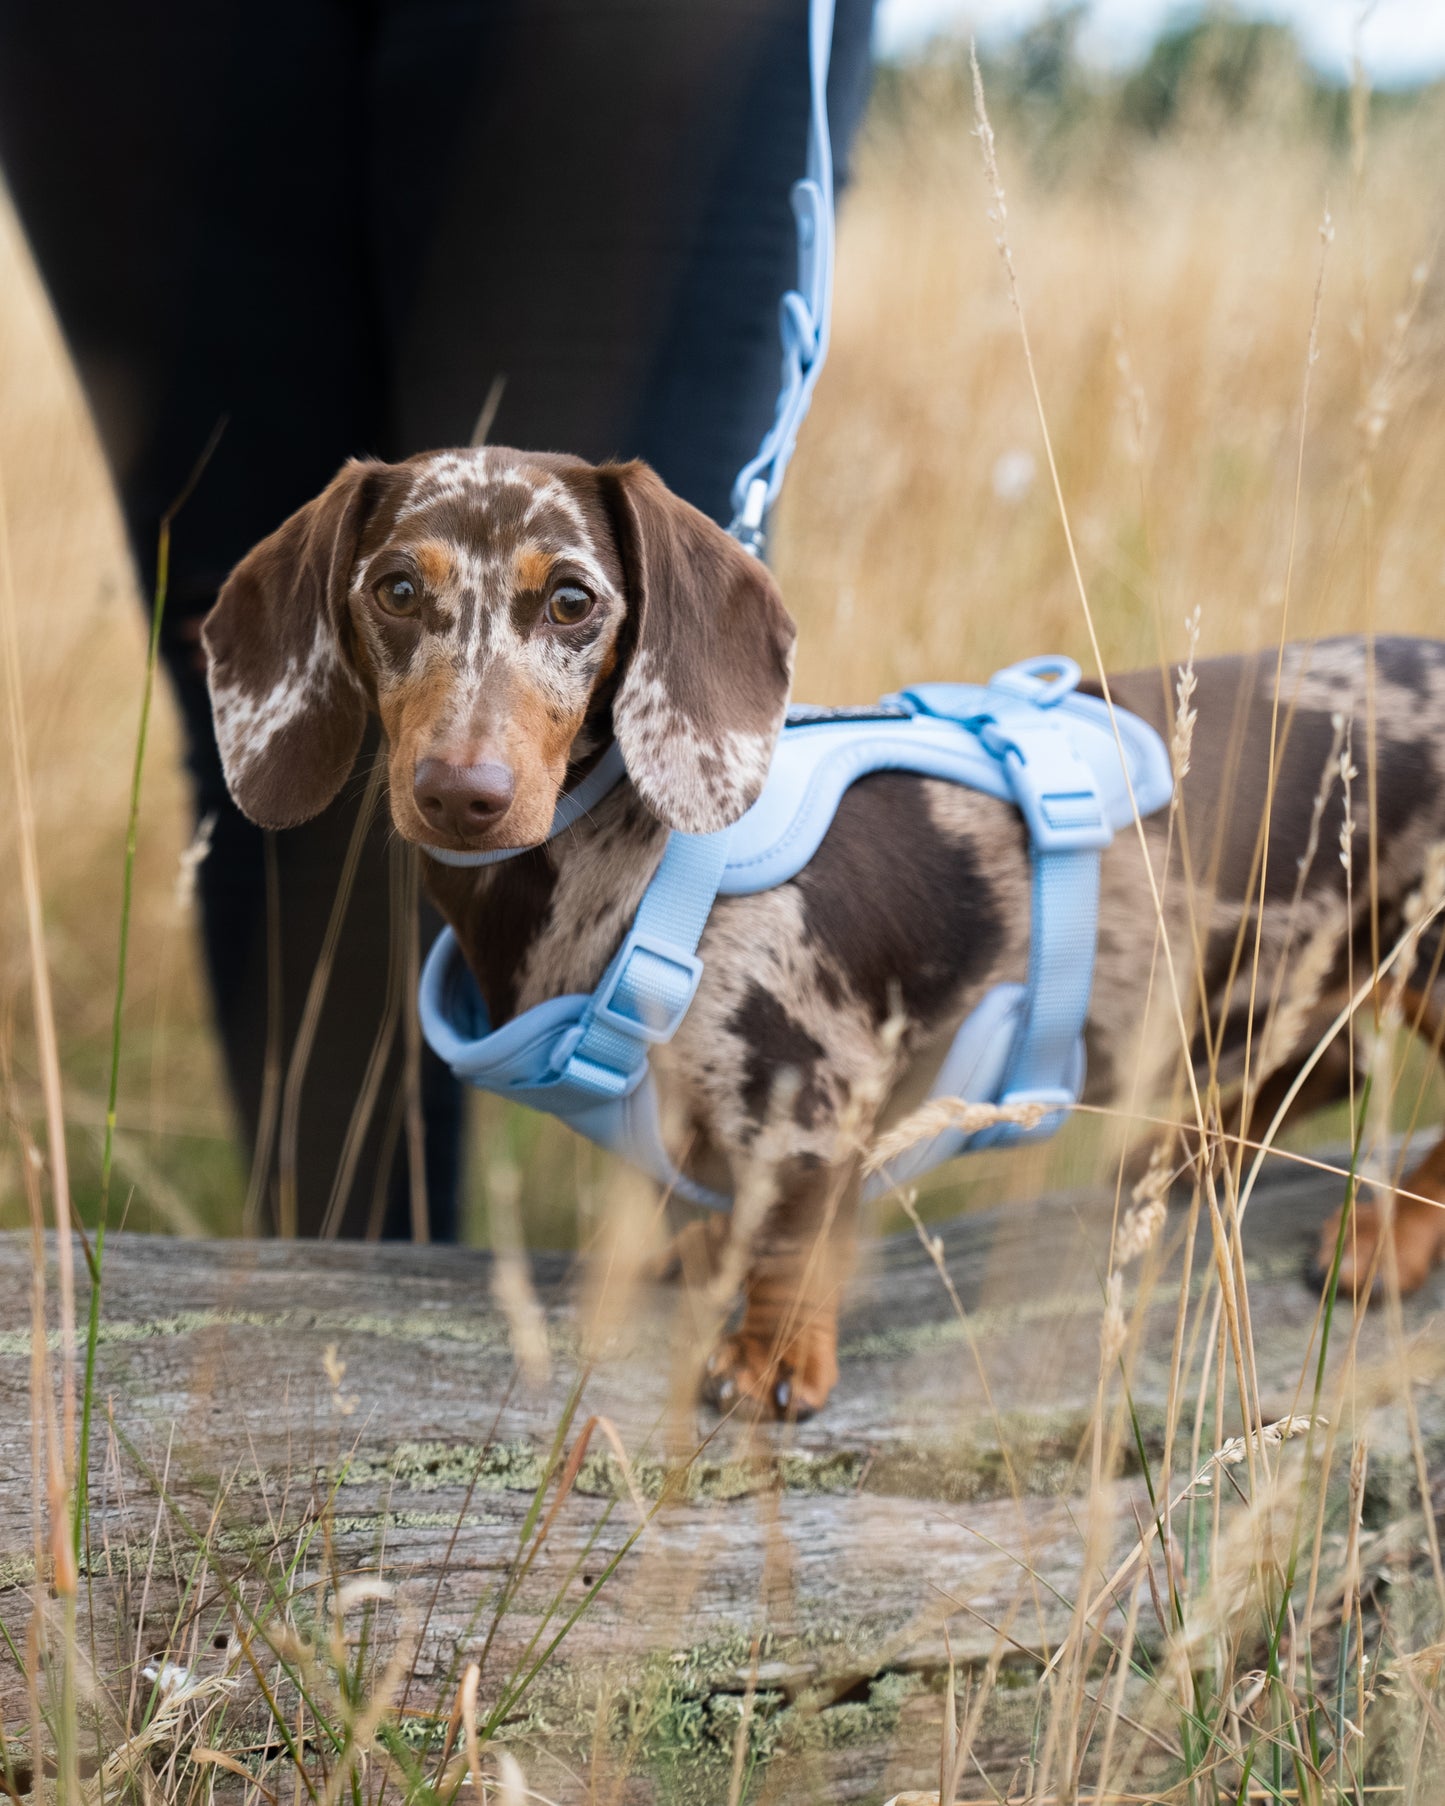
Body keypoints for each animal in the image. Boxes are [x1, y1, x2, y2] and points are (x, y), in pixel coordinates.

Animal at [200, 444, 1445, 1415]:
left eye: (572, 601)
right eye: (394, 587)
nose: (463, 792)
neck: (627, 864)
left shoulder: (815, 1089)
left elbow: (792, 1234)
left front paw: (768, 1354)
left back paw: (1385, 1232)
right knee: (1325, 1062)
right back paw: (1190, 1156)